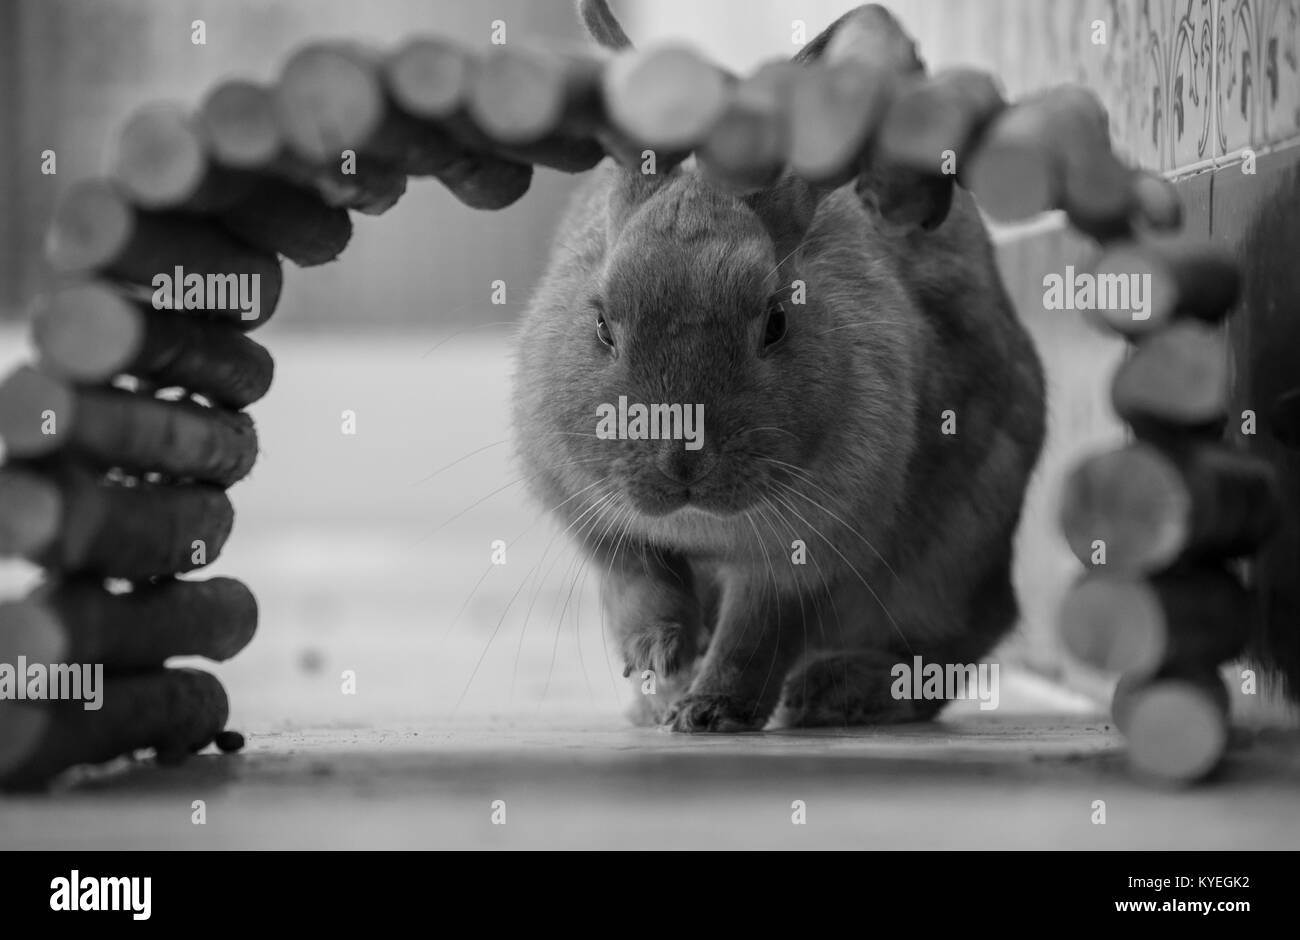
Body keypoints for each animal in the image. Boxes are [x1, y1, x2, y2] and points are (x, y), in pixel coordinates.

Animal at [512, 0, 1050, 733]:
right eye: (600, 324)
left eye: (775, 323)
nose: (682, 460)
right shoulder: (600, 523)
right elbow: (642, 589)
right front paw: (659, 662)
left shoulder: (806, 553)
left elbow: (755, 634)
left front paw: (711, 710)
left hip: (957, 550)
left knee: (952, 644)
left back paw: (832, 692)